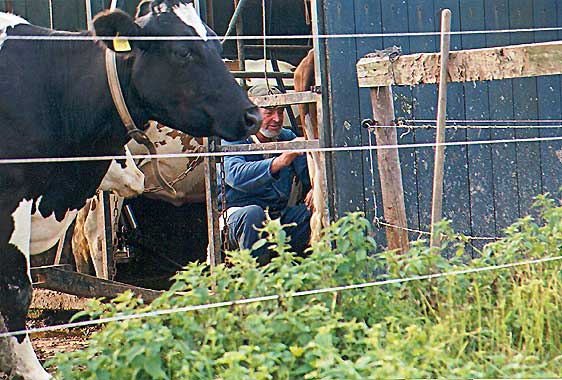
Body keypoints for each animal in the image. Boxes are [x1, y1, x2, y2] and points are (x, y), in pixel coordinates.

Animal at [0, 0, 258, 378]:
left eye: (216, 44)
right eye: (183, 51)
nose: (252, 115)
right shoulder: (10, 202)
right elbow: (16, 291)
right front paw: (31, 370)